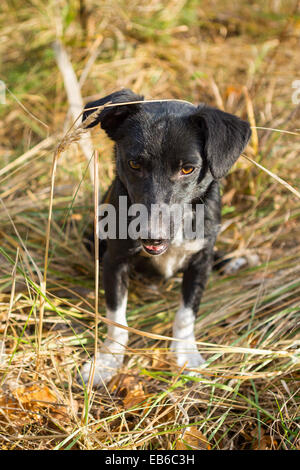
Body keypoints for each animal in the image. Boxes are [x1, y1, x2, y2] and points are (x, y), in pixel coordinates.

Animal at [79, 90, 251, 388]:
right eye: (134, 163)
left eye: (188, 169)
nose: (152, 235)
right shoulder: (115, 261)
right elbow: (116, 320)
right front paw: (107, 362)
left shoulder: (199, 261)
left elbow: (185, 315)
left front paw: (186, 355)